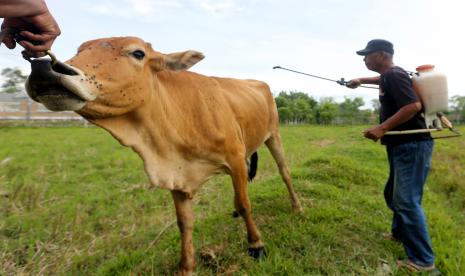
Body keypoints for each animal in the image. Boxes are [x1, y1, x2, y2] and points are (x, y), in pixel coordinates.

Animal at [24, 37, 300, 276]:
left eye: (138, 53)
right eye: (80, 50)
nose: (43, 67)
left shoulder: (234, 158)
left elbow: (245, 204)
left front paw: (256, 246)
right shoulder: (176, 175)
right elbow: (184, 222)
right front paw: (186, 267)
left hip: (274, 136)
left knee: (284, 173)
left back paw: (296, 207)